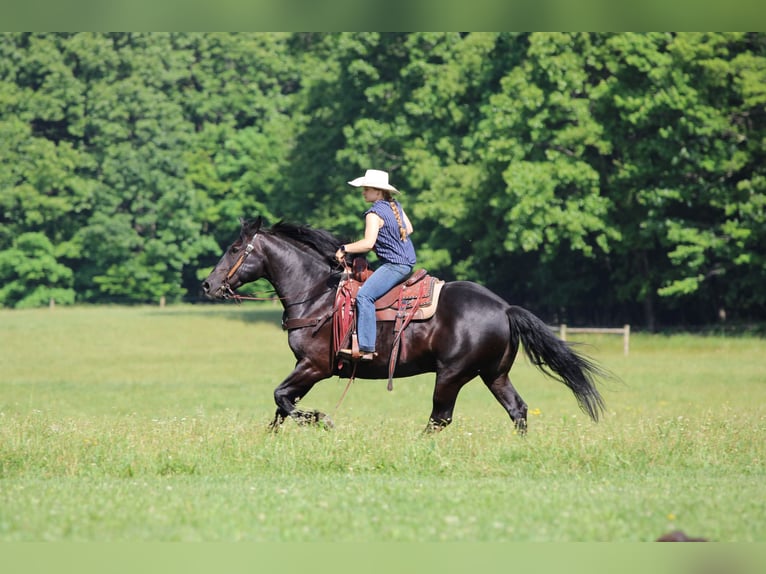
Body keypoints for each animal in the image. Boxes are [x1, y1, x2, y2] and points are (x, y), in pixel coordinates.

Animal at [202, 217, 609, 433]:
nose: (207, 284)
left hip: (452, 375)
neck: (317, 293)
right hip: (494, 374)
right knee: (517, 410)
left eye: (235, 249)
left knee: (440, 417)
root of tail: (504, 308)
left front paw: (321, 420)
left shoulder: (314, 366)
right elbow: (281, 406)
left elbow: (281, 398)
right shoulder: (306, 369)